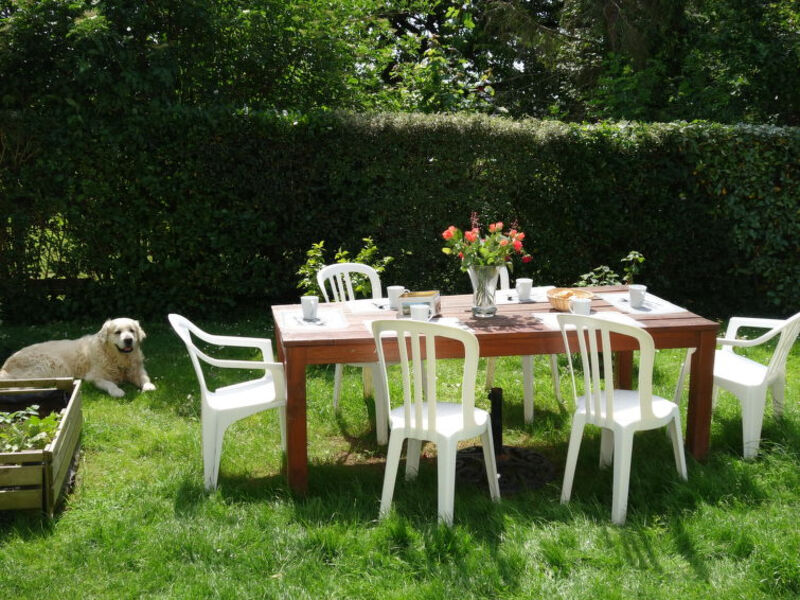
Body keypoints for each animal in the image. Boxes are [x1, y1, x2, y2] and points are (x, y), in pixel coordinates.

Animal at [0, 316, 156, 396]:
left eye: (132, 330)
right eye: (118, 332)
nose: (128, 340)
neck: (118, 358)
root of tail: (6, 364)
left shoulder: (137, 369)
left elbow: (144, 377)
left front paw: (148, 387)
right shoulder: (94, 377)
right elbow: (109, 383)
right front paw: (117, 391)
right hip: (48, 365)